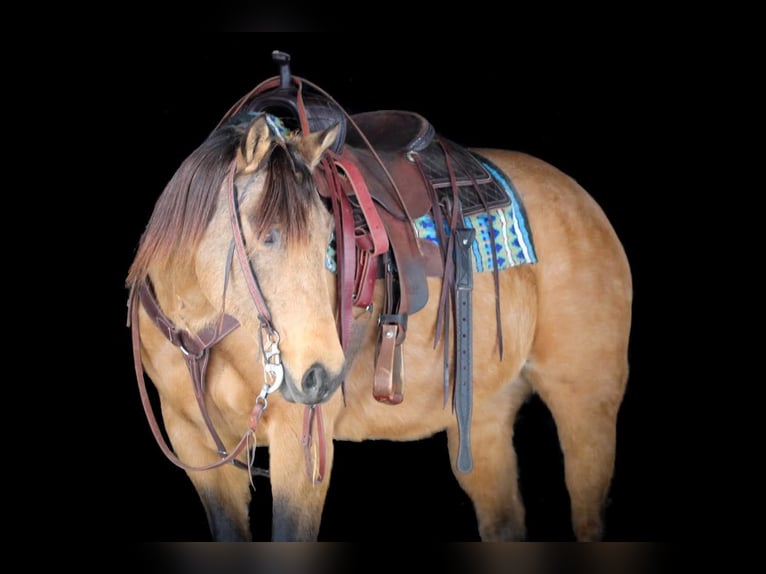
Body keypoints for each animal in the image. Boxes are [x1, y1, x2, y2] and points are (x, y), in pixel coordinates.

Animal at [126, 53, 632, 542]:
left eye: (330, 238)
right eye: (268, 237)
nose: (320, 377)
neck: (203, 333)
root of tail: (584, 203)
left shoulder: (301, 448)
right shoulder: (196, 447)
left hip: (586, 401)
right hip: (486, 413)